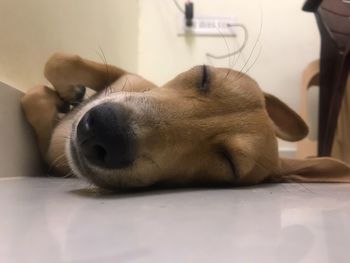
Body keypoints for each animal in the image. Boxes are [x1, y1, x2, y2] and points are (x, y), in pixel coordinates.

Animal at [20, 53, 350, 190]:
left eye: (229, 162)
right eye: (205, 76)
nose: (104, 130)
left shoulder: (52, 155)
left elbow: (35, 103)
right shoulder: (123, 75)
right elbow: (60, 61)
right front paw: (68, 93)